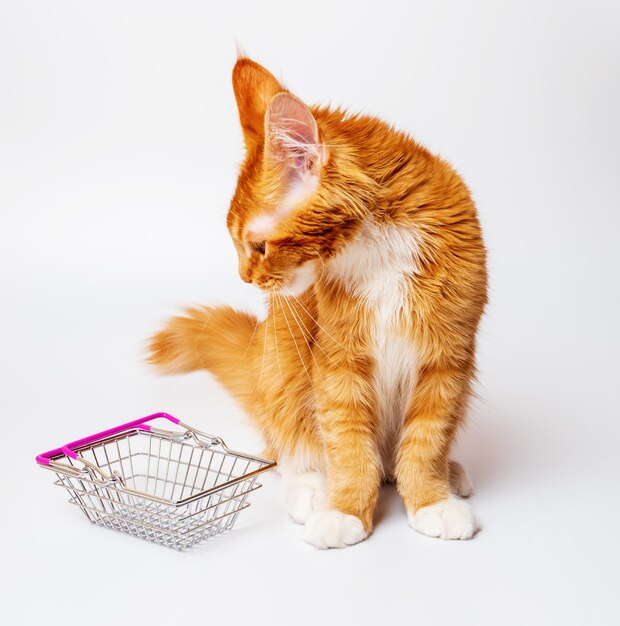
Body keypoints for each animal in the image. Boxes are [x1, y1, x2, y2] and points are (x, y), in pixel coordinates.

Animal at [148, 57, 486, 544]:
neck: (378, 247)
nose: (245, 277)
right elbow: (349, 446)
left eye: (258, 247)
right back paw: (311, 489)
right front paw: (344, 510)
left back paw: (449, 474)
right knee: (290, 449)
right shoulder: (337, 361)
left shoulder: (445, 359)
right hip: (280, 367)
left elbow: (425, 444)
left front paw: (431, 500)